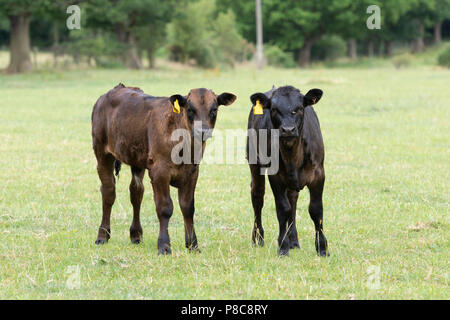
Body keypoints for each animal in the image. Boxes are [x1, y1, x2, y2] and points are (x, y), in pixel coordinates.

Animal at [92, 84, 237, 254]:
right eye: (190, 109)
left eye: (214, 109)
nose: (202, 131)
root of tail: (116, 88)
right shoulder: (160, 172)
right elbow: (165, 208)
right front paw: (164, 246)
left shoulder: (192, 172)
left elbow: (188, 207)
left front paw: (193, 245)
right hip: (102, 152)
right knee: (108, 191)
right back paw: (102, 236)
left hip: (138, 160)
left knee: (136, 193)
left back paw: (136, 235)